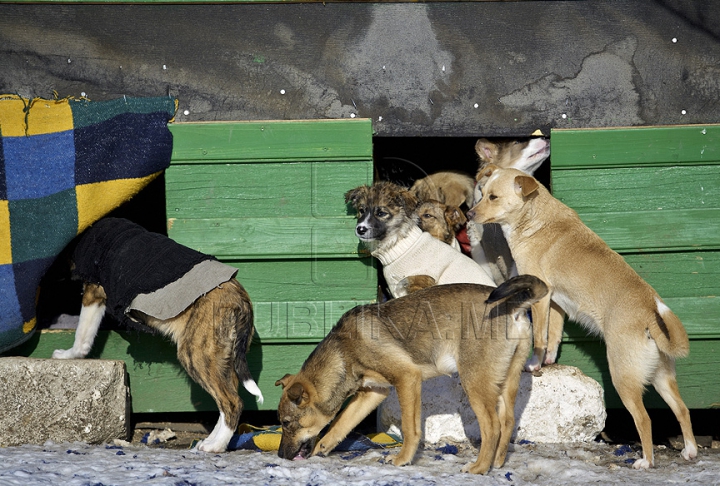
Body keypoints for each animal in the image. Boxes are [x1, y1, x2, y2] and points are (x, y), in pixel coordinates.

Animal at [51, 216, 264, 452]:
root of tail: (241, 300)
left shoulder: (93, 291)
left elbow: (82, 335)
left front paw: (67, 355)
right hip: (223, 359)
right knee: (229, 399)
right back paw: (211, 441)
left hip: (196, 354)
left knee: (232, 402)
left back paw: (215, 446)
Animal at [274, 276, 544, 476]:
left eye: (286, 423)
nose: (279, 455)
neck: (343, 352)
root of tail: (512, 306)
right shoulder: (373, 392)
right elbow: (340, 424)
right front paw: (322, 447)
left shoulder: (407, 378)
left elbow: (409, 428)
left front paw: (402, 459)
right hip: (506, 380)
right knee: (508, 421)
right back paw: (497, 463)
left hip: (474, 381)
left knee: (492, 427)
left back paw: (479, 467)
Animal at [466, 166, 696, 468]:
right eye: (482, 193)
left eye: (493, 197)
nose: (469, 214)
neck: (534, 218)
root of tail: (649, 308)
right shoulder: (556, 303)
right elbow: (553, 337)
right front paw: (548, 362)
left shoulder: (540, 297)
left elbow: (540, 337)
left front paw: (534, 365)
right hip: (661, 376)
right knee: (682, 409)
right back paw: (690, 450)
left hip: (623, 377)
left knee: (644, 419)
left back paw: (646, 461)